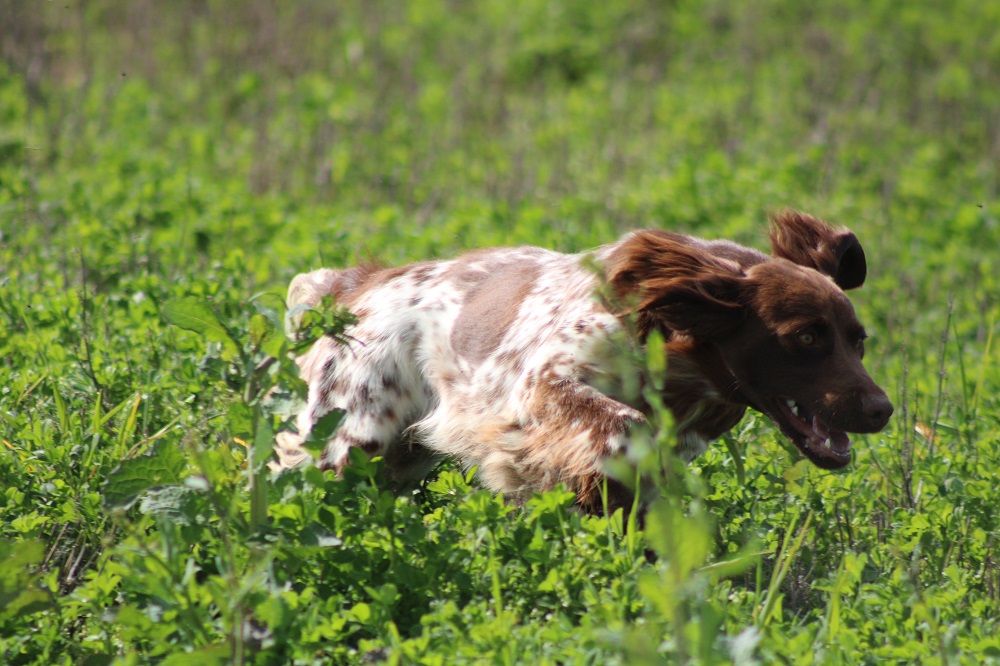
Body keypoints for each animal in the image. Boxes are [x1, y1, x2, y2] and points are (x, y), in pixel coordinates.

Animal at [274, 210, 892, 510]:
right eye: (806, 338)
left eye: (858, 340)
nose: (882, 409)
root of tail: (356, 287)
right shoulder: (539, 388)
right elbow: (623, 427)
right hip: (349, 440)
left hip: (400, 457)